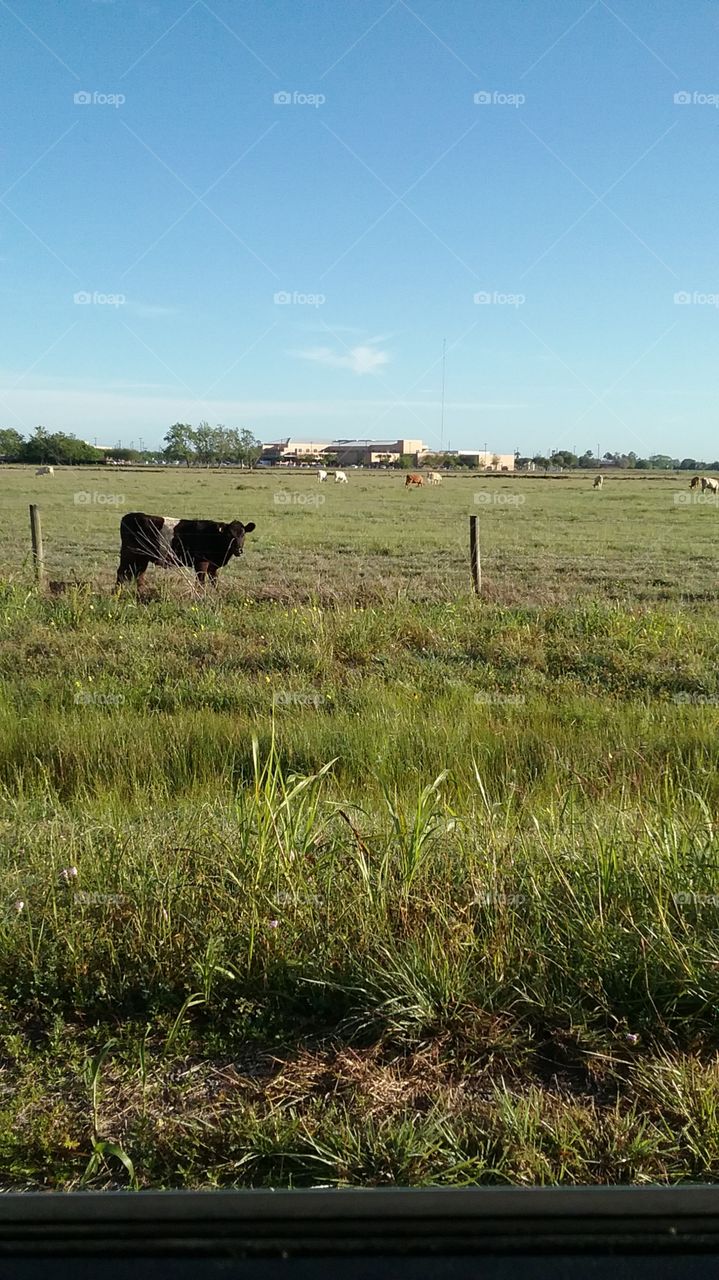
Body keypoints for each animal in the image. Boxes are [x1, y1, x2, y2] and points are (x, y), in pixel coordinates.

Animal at [116, 513, 256, 587]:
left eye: (243, 534)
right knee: (121, 573)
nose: (239, 550)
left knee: (139, 576)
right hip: (129, 554)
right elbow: (200, 583)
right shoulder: (201, 562)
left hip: (142, 558)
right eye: (229, 535)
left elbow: (214, 583)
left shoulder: (213, 567)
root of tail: (129, 516)